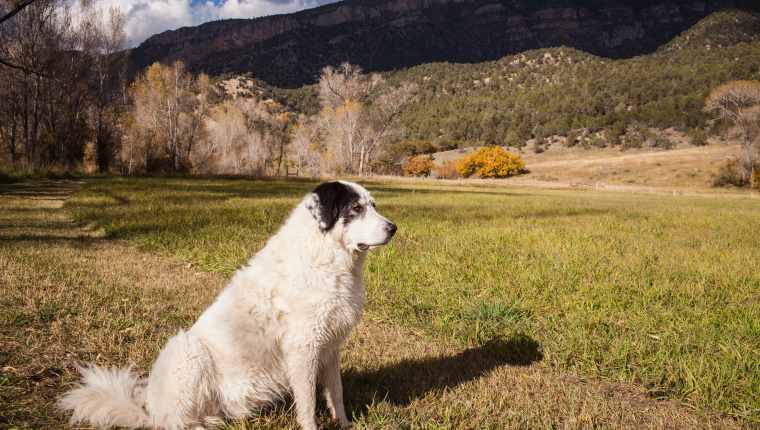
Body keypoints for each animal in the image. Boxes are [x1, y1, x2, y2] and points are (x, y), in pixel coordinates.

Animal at [59, 181, 398, 430]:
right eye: (356, 208)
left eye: (374, 205)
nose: (393, 227)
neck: (326, 256)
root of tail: (148, 410)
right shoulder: (303, 349)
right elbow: (307, 404)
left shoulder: (330, 347)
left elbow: (335, 393)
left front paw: (345, 424)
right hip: (187, 350)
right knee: (174, 422)